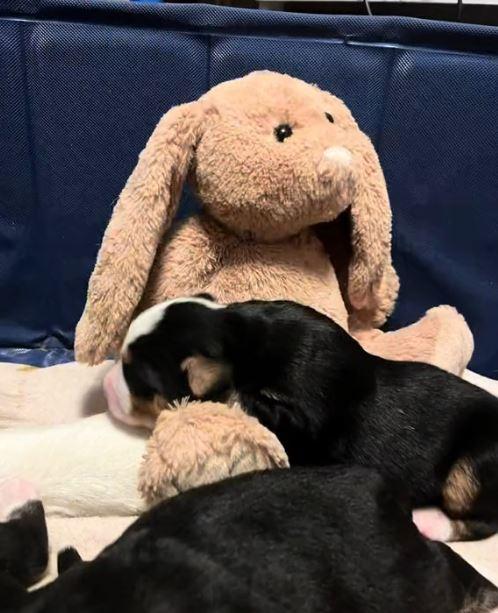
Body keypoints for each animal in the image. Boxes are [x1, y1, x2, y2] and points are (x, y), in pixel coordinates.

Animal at [106, 296, 498, 540]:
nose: (106, 385)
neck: (239, 339)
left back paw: (431, 522)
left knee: (484, 520)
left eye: (137, 378)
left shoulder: (304, 415)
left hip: (470, 470)